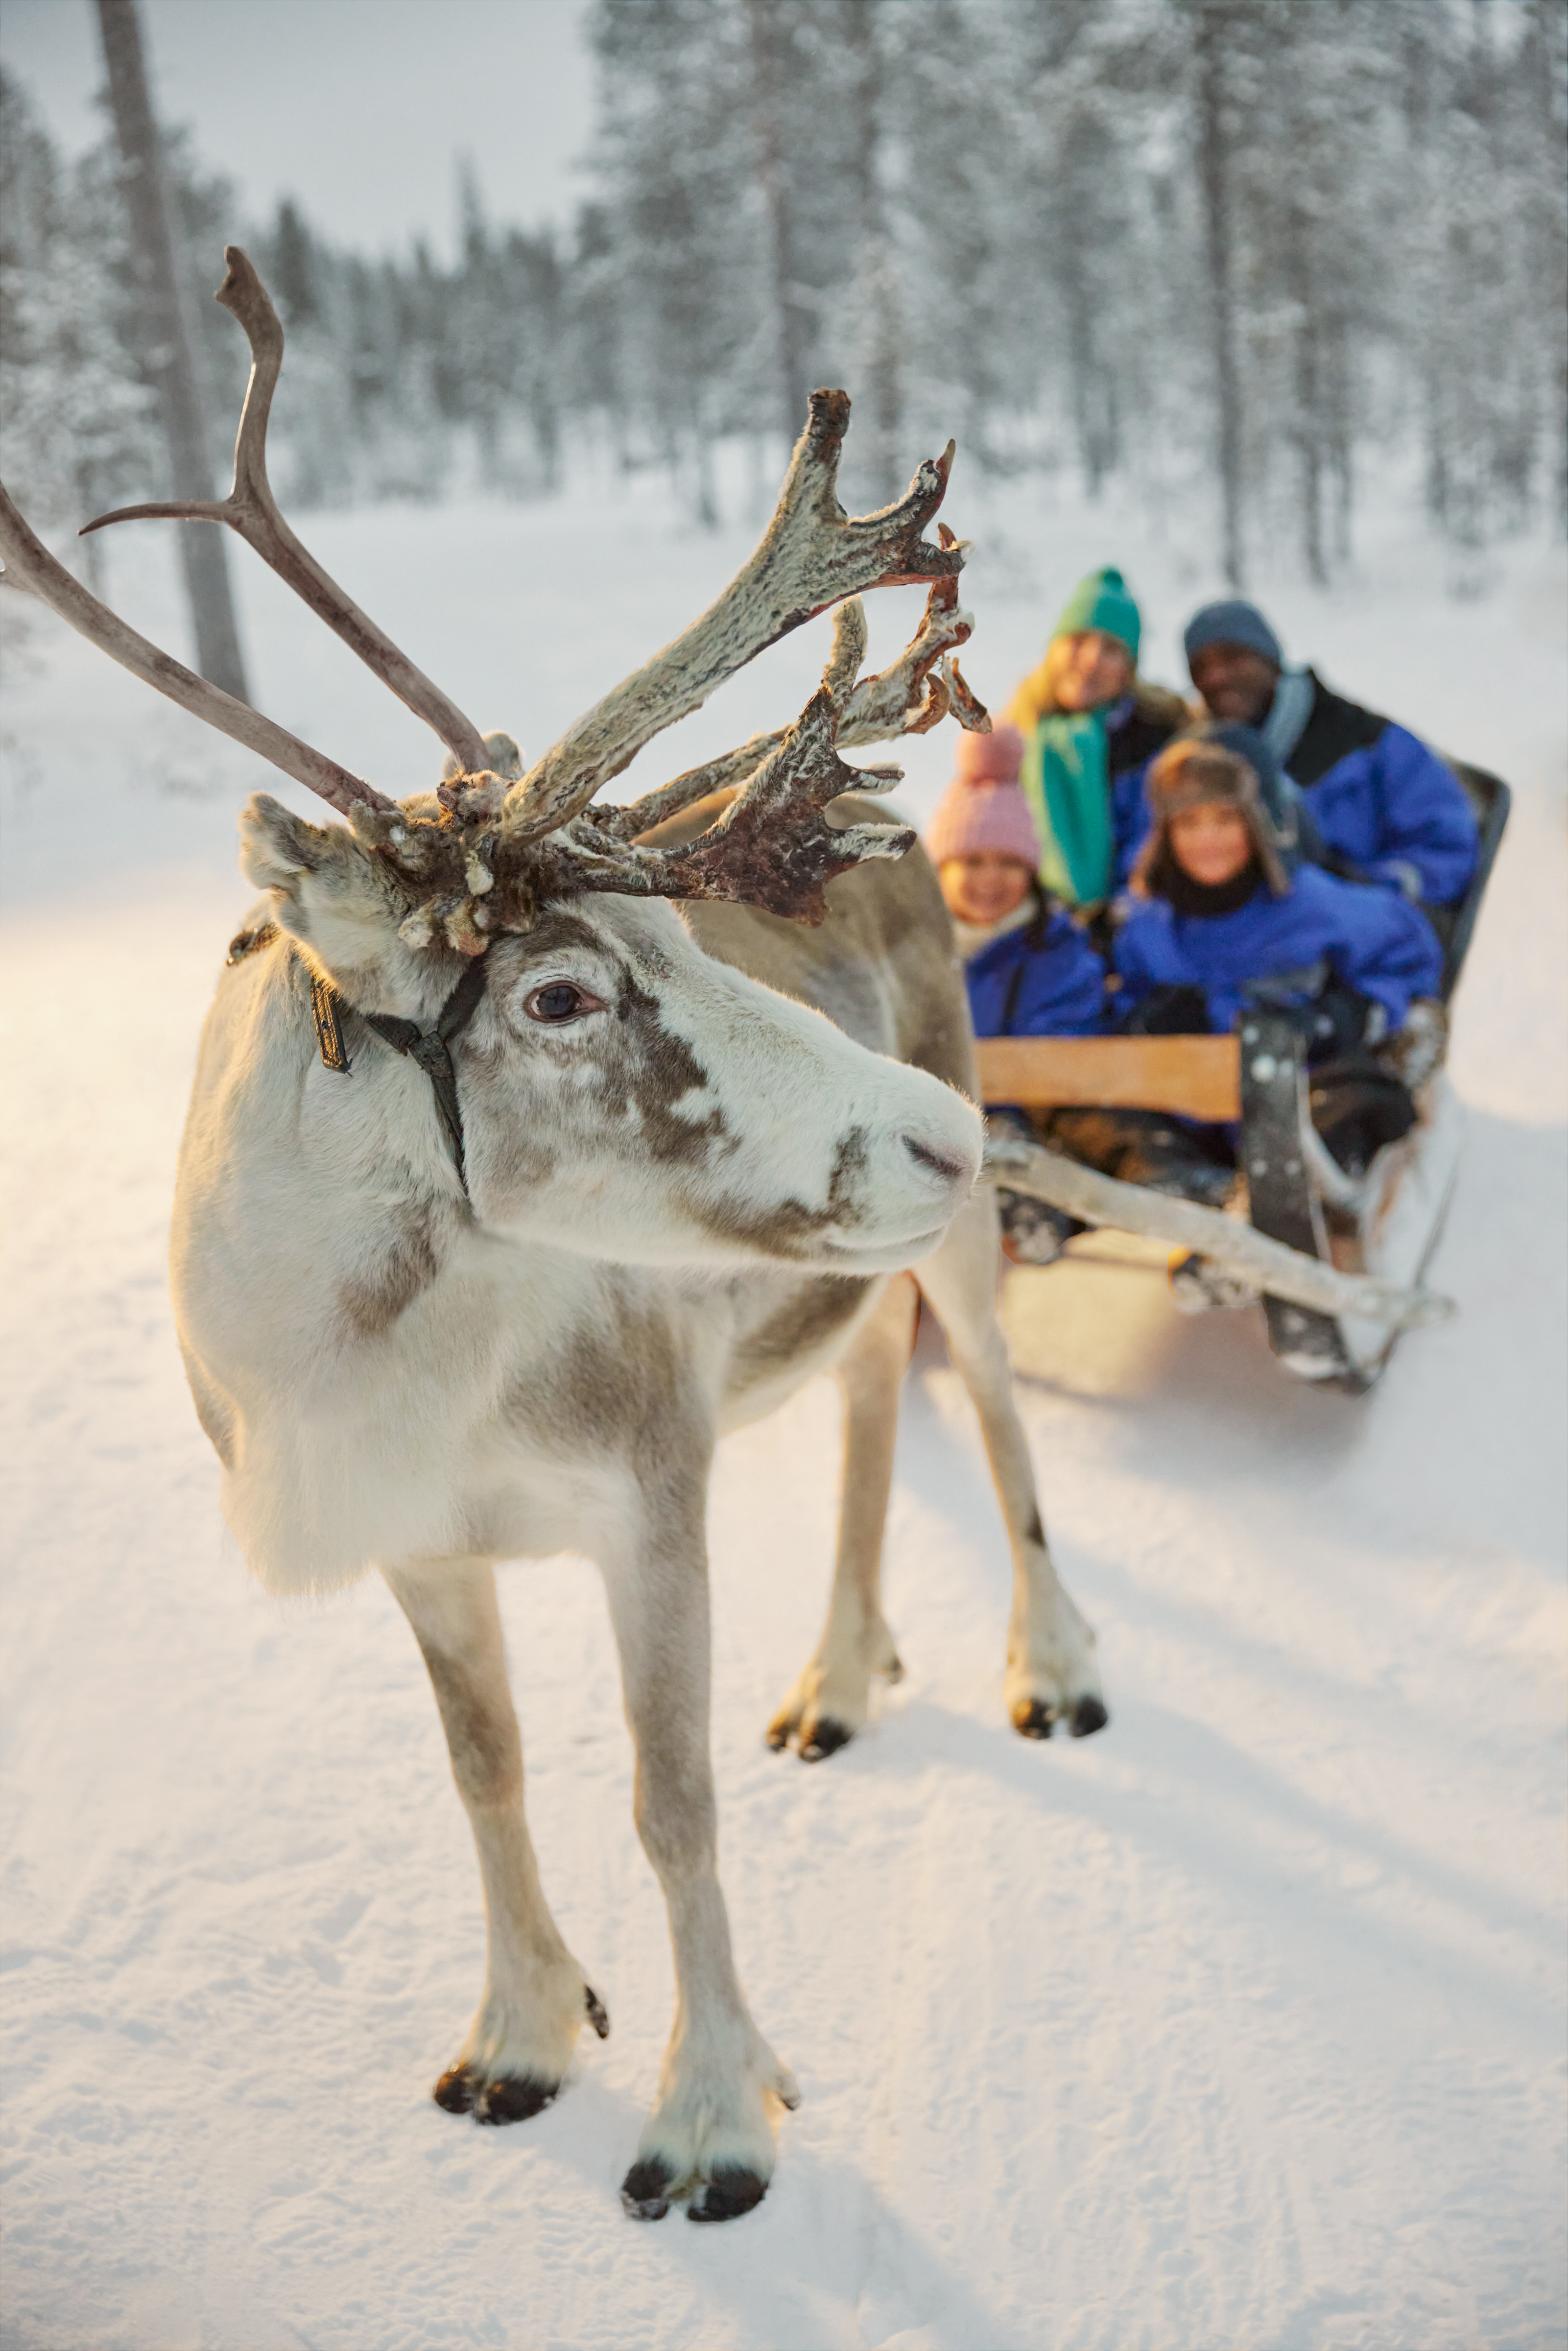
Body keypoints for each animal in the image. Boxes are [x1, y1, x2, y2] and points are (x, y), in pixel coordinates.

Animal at [0, 248, 1106, 2224]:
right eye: (565, 991)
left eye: (670, 943)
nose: (938, 1134)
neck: (345, 1364)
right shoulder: (420, 1547)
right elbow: (487, 1773)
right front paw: (517, 2037)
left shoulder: (648, 1489)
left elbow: (672, 1803)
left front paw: (715, 2117)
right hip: (840, 1284)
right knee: (868, 1395)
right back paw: (838, 1675)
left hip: (961, 1254)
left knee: (986, 1402)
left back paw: (1047, 1668)